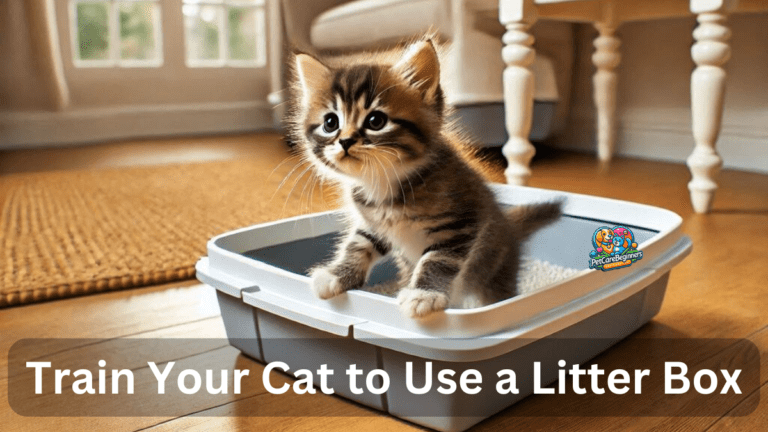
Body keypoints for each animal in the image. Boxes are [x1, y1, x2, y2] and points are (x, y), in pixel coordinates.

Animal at [284, 38, 560, 318]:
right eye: (330, 123)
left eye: (375, 120)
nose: (345, 141)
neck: (383, 183)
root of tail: (509, 227)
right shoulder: (373, 225)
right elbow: (357, 245)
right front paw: (336, 275)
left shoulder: (460, 223)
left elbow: (437, 259)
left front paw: (423, 294)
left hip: (494, 274)